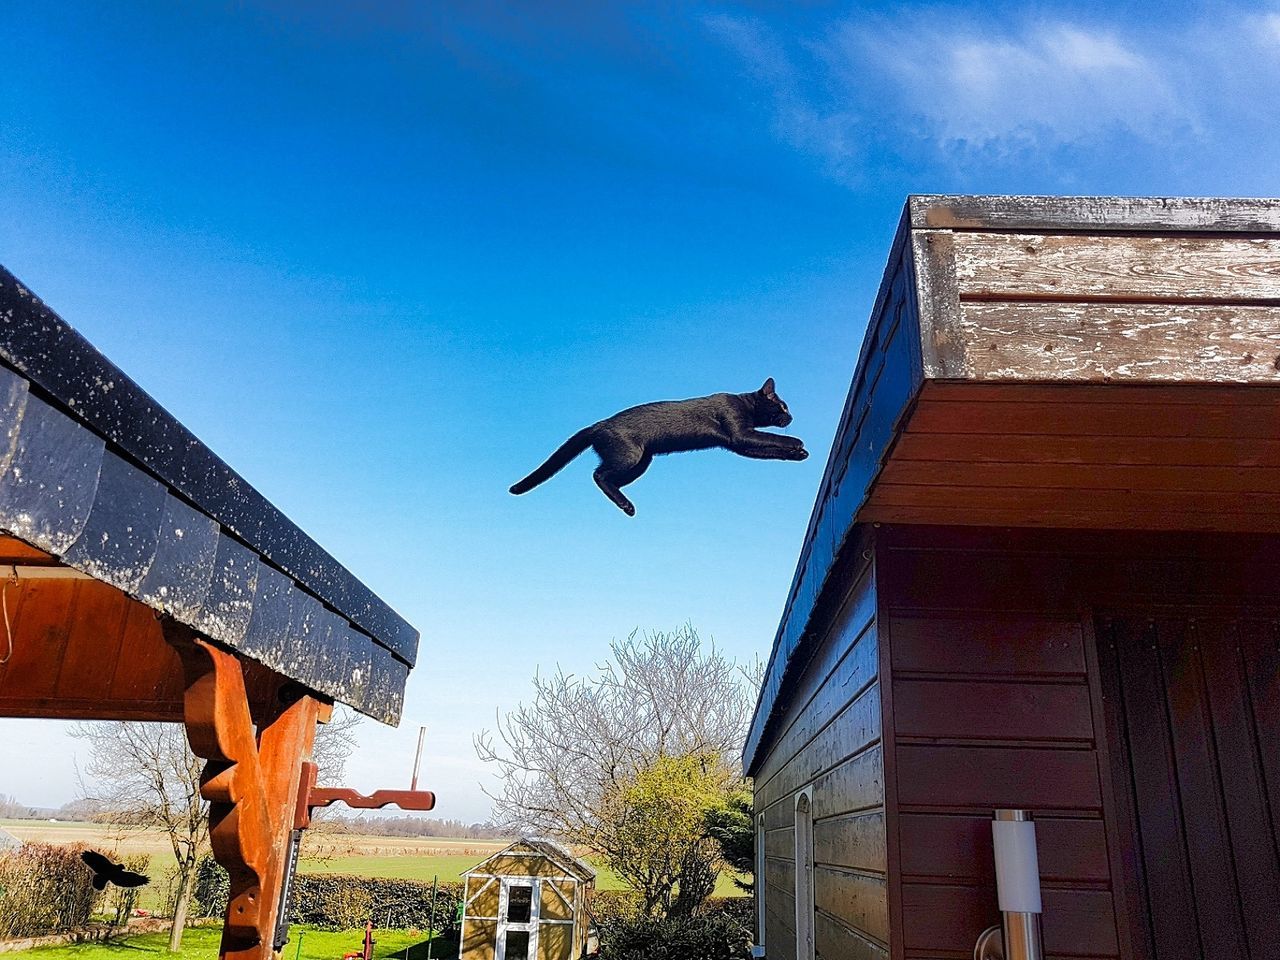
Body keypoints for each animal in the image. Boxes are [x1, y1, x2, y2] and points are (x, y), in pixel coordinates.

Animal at [509, 378, 808, 519]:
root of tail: (598, 424)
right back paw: (626, 506)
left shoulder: (741, 444)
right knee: (598, 475)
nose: (792, 417)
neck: (744, 405)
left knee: (606, 478)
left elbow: (770, 450)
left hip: (643, 461)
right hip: (630, 457)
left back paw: (626, 505)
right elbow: (774, 439)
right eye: (782, 407)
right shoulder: (740, 435)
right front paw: (798, 443)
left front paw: (799, 454)